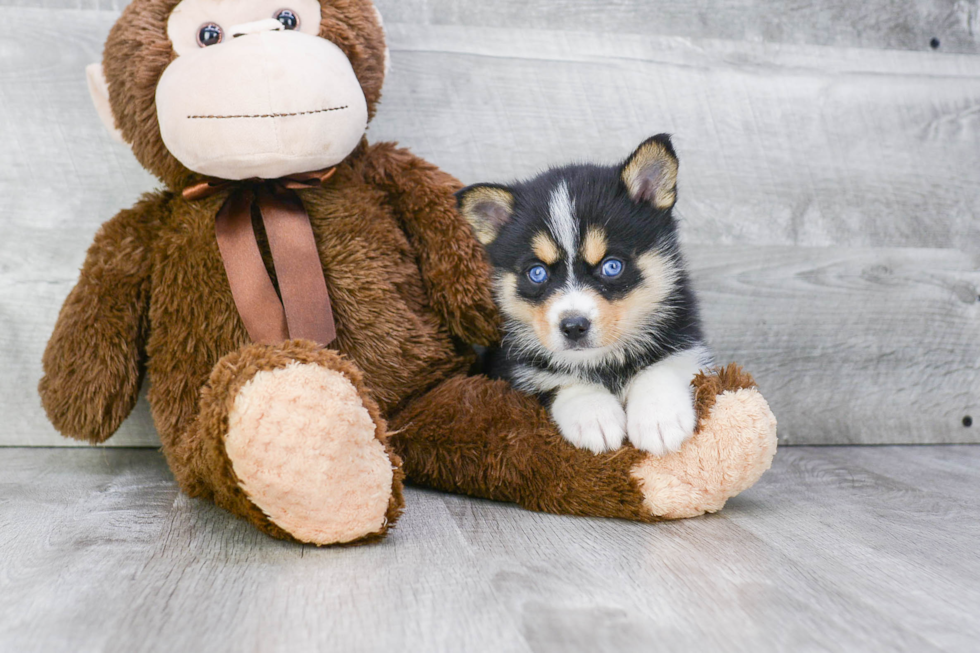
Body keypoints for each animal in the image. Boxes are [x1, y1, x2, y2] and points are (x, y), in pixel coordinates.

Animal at [460, 135, 712, 456]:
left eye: (612, 266)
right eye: (537, 273)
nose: (573, 326)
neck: (604, 361)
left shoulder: (687, 339)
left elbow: (662, 366)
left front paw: (659, 418)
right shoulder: (510, 367)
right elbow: (560, 379)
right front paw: (595, 416)